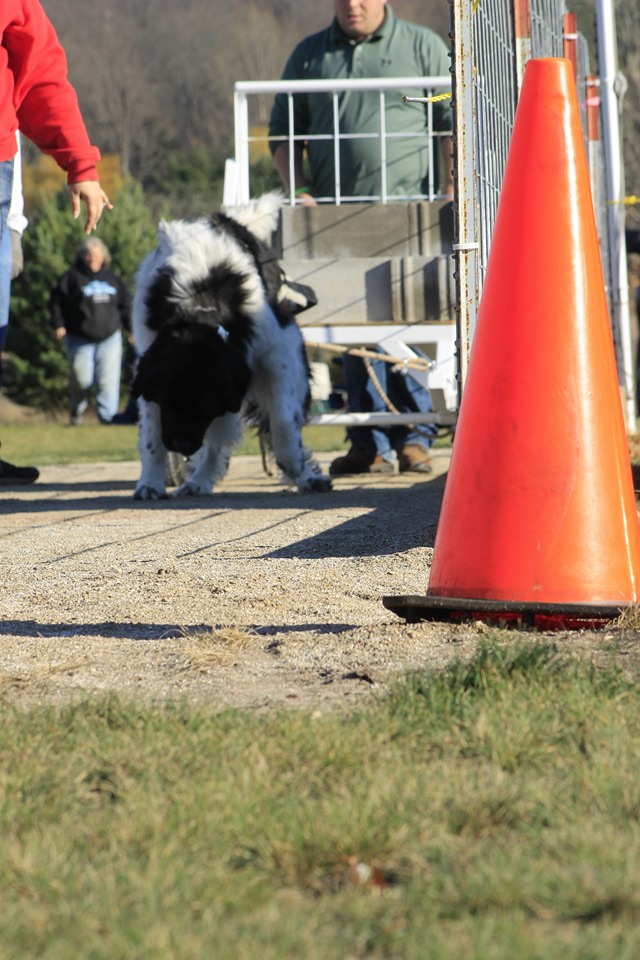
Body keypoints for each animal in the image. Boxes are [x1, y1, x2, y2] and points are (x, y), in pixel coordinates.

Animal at [130, 191, 330, 498]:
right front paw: (150, 484)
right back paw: (198, 481)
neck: (198, 307)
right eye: (169, 398)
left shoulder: (281, 347)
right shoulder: (149, 359)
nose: (182, 446)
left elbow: (284, 424)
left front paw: (305, 475)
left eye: (202, 400)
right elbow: (152, 437)